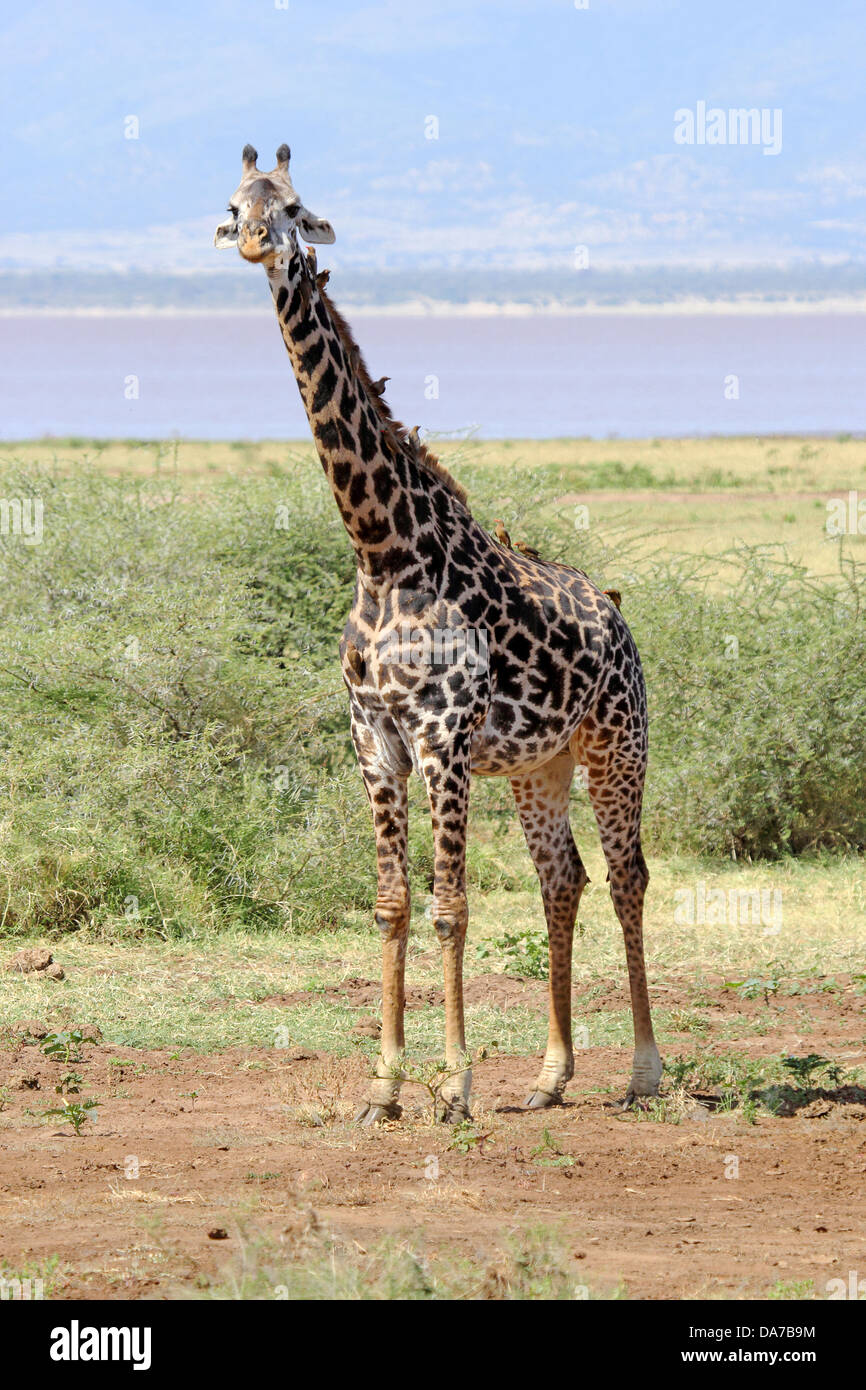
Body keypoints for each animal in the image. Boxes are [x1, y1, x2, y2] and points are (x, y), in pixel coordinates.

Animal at [214, 143, 661, 1117]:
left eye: (294, 206)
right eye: (233, 205)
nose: (258, 243)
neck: (383, 552)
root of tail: (616, 611)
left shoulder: (443, 735)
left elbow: (451, 904)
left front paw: (453, 1085)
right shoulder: (373, 736)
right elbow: (391, 904)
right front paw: (384, 1088)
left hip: (618, 745)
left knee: (627, 875)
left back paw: (644, 1070)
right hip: (539, 766)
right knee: (563, 878)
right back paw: (550, 1077)